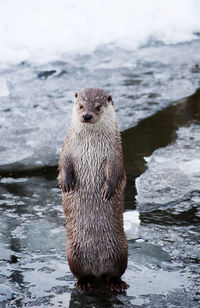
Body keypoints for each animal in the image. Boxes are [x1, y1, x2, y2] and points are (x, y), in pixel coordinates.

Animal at [58, 87, 129, 292]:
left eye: (97, 106)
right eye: (81, 105)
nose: (87, 115)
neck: (91, 145)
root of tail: (98, 271)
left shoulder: (114, 154)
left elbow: (115, 171)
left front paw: (107, 189)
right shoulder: (67, 148)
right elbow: (63, 163)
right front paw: (66, 183)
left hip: (121, 251)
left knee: (115, 273)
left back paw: (116, 284)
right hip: (72, 253)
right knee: (81, 273)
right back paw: (84, 283)